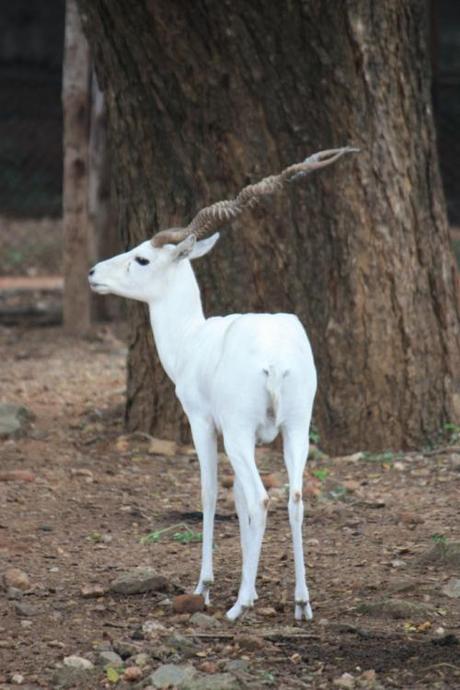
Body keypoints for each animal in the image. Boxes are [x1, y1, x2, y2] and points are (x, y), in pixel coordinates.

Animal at [89, 145, 356, 620]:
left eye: (142, 258)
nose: (93, 273)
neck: (192, 339)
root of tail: (274, 359)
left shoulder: (203, 423)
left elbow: (212, 493)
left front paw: (209, 586)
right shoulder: (258, 435)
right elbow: (238, 500)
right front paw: (251, 588)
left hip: (238, 431)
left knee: (263, 498)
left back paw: (239, 607)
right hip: (295, 429)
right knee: (294, 498)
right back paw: (301, 603)